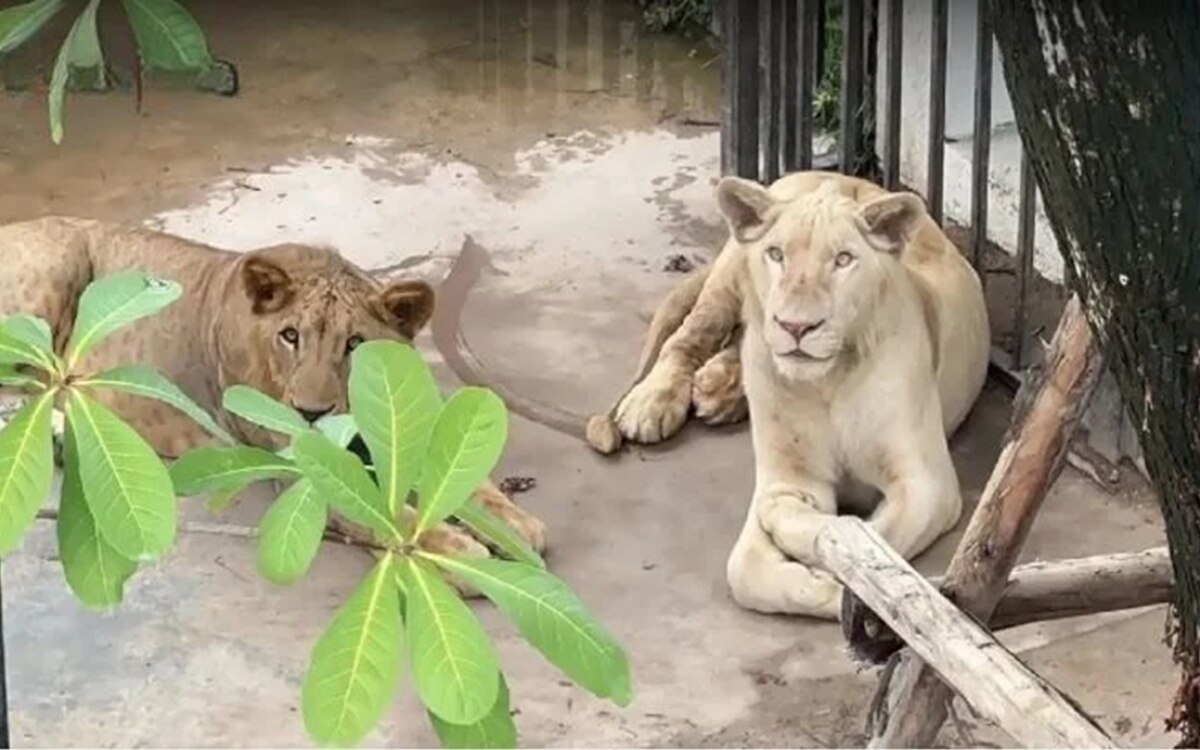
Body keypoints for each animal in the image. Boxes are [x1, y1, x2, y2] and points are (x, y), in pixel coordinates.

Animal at [0, 216, 544, 578]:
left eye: (354, 344)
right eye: (290, 336)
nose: (311, 412)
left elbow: (474, 485)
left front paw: (516, 527)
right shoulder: (303, 470)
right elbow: (384, 517)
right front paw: (461, 552)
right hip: (56, 269)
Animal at [585, 172, 988, 619]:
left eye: (843, 260)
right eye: (776, 254)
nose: (795, 327)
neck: (827, 383)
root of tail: (842, 177)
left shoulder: (926, 484)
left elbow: (870, 539)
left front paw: (838, 582)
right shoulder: (789, 478)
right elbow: (745, 570)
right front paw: (815, 572)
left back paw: (718, 390)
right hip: (727, 280)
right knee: (687, 337)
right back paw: (653, 402)